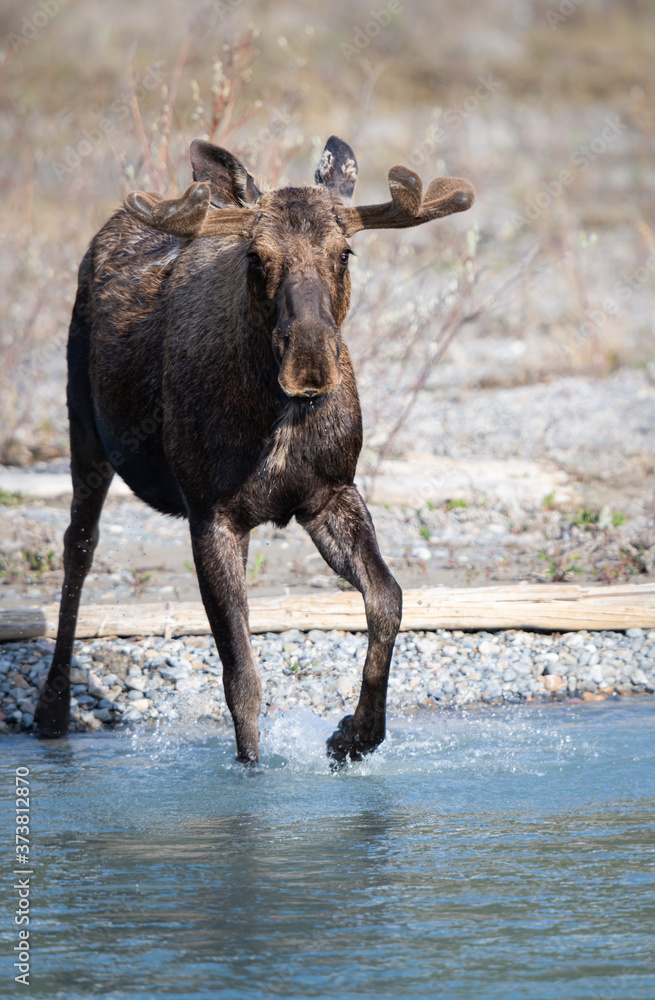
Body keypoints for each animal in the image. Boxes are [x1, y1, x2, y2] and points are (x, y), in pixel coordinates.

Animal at [34, 135, 474, 764]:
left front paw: (354, 735)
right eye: (256, 257)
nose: (310, 360)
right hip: (83, 424)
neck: (277, 420)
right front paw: (252, 774)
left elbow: (388, 600)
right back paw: (51, 710)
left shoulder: (331, 494)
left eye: (345, 253)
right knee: (79, 546)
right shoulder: (211, 514)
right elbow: (241, 678)